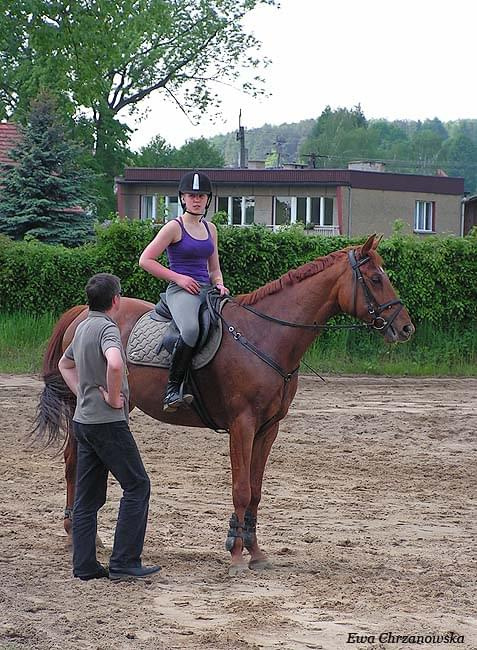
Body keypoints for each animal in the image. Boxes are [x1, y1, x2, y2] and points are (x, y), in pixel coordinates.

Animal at [32, 233, 412, 572]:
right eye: (376, 279)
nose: (406, 328)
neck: (265, 335)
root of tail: (84, 312)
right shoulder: (241, 424)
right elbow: (241, 489)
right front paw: (236, 554)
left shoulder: (268, 428)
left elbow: (255, 491)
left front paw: (255, 552)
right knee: (72, 462)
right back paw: (73, 532)